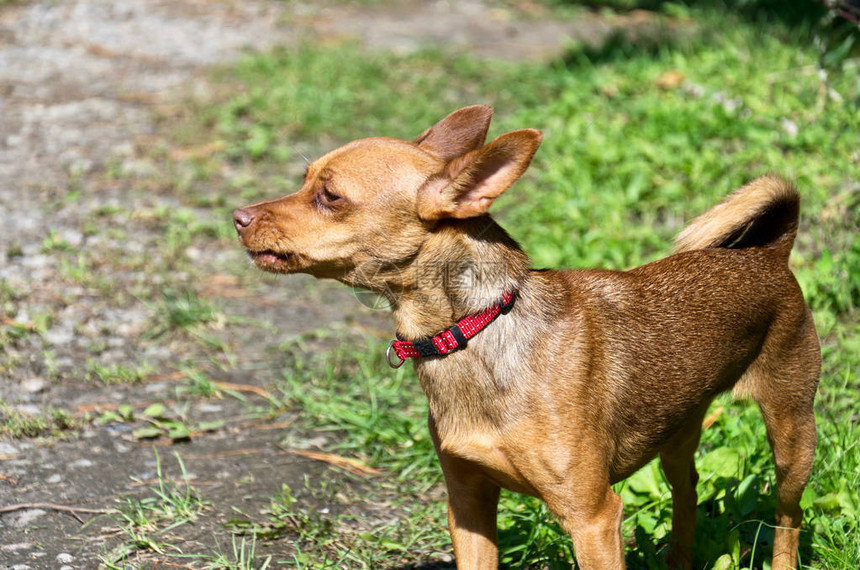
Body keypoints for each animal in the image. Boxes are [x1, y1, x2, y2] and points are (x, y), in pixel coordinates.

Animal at [233, 105, 820, 564]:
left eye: (329, 196)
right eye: (304, 179)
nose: (238, 215)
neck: (473, 331)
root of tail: (769, 255)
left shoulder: (593, 518)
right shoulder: (468, 505)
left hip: (793, 438)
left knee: (787, 519)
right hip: (677, 431)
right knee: (687, 493)